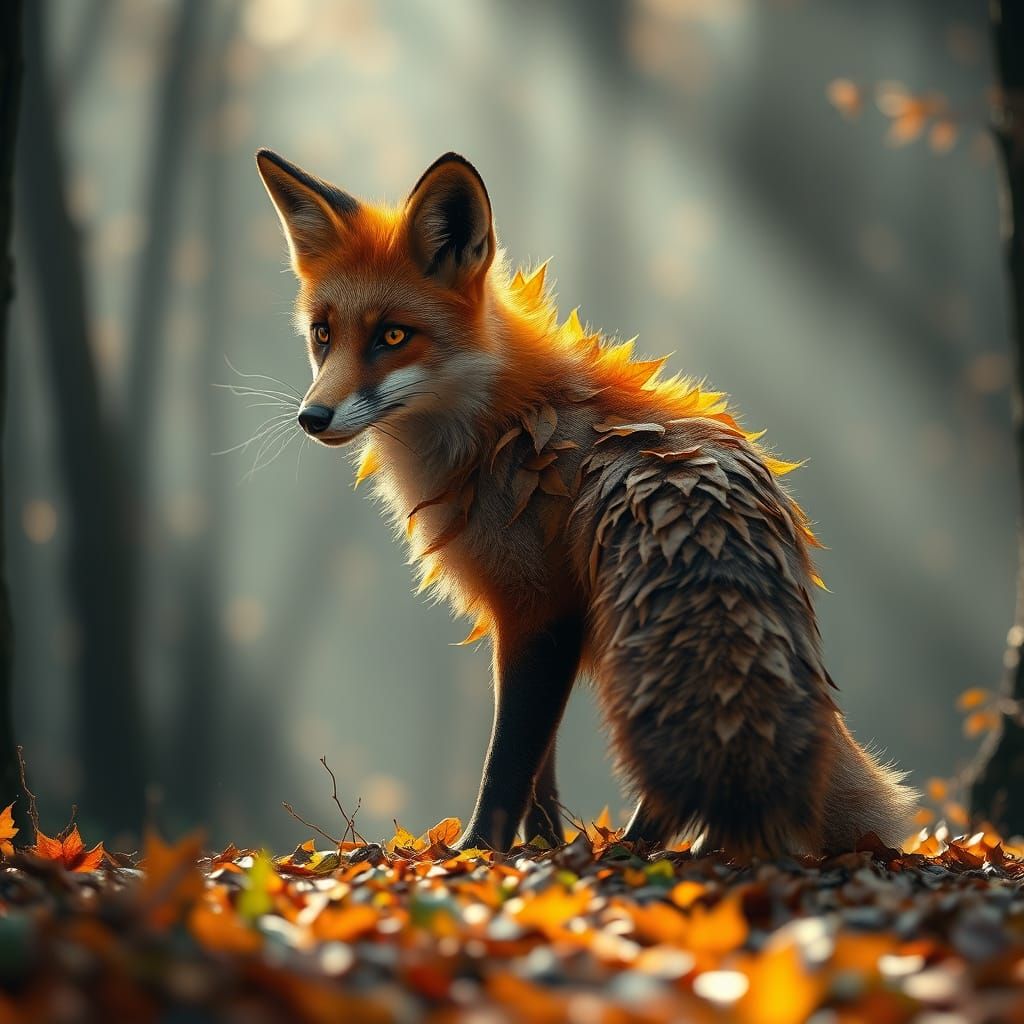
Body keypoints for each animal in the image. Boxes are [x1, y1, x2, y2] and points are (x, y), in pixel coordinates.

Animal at [255, 148, 918, 857]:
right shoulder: (537, 621)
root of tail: (703, 492)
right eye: (323, 335)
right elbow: (539, 772)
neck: (495, 423)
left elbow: (508, 761)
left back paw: (644, 851)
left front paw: (479, 852)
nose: (312, 418)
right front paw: (545, 848)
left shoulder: (538, 612)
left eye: (394, 337)